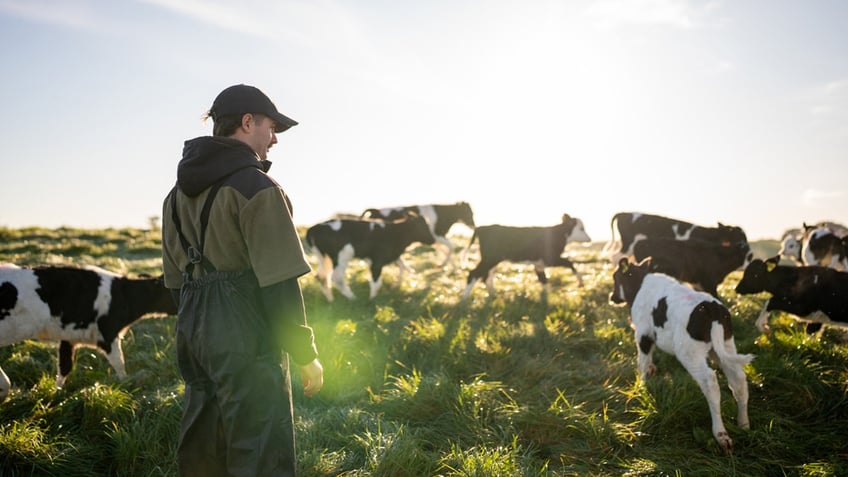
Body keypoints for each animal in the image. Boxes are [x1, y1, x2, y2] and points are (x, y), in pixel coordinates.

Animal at [0, 262, 179, 400]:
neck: (123, 295)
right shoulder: (108, 334)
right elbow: (119, 363)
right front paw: (127, 386)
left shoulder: (69, 337)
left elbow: (64, 367)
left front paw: (57, 393)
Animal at [304, 213, 438, 300]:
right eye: (423, 226)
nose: (433, 239)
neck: (394, 234)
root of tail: (314, 228)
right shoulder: (377, 261)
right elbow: (376, 281)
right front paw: (372, 299)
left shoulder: (379, 258)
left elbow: (401, 266)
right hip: (341, 257)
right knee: (337, 277)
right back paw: (352, 298)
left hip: (323, 257)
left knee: (321, 276)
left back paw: (331, 300)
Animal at [460, 213, 592, 298]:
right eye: (581, 228)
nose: (590, 239)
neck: (559, 234)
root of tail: (481, 228)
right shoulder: (550, 259)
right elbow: (570, 262)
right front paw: (581, 282)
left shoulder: (539, 264)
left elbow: (543, 279)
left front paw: (547, 297)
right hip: (490, 259)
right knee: (474, 273)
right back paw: (465, 298)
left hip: (492, 260)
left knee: (486, 276)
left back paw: (493, 294)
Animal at [608, 258, 756, 452]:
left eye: (615, 277)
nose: (612, 297)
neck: (640, 284)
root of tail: (712, 308)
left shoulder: (643, 334)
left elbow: (642, 362)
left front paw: (640, 387)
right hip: (725, 346)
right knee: (738, 379)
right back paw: (743, 424)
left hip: (689, 352)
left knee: (710, 382)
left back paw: (721, 435)